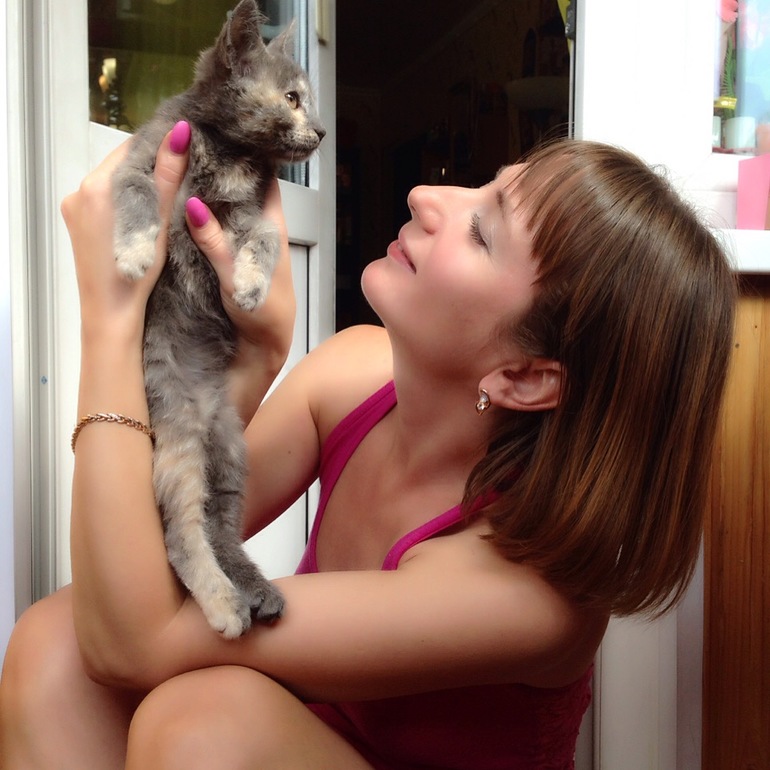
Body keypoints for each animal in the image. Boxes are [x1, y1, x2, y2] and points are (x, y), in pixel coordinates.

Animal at [111, 0, 325, 638]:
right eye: (293, 98)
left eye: (309, 99)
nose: (322, 131)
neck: (230, 153)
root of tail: (204, 411)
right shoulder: (141, 165)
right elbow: (137, 199)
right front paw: (135, 254)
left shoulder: (249, 217)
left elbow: (264, 240)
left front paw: (249, 286)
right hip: (177, 439)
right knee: (183, 532)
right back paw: (226, 604)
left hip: (231, 452)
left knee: (219, 528)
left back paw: (254, 592)